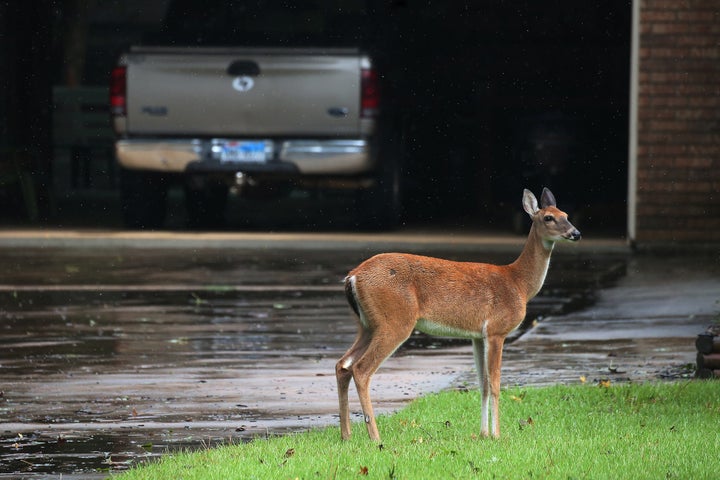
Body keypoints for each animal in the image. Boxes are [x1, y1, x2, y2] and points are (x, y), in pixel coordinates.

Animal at [336, 188, 580, 442]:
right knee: (361, 369)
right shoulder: (497, 330)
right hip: (395, 321)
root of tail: (353, 277)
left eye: (566, 214)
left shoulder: (478, 336)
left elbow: (483, 384)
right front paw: (497, 435)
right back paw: (375, 437)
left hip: (367, 324)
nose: (576, 233)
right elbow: (495, 383)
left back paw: (346, 435)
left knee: (342, 364)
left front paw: (483, 433)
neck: (519, 283)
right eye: (548, 218)